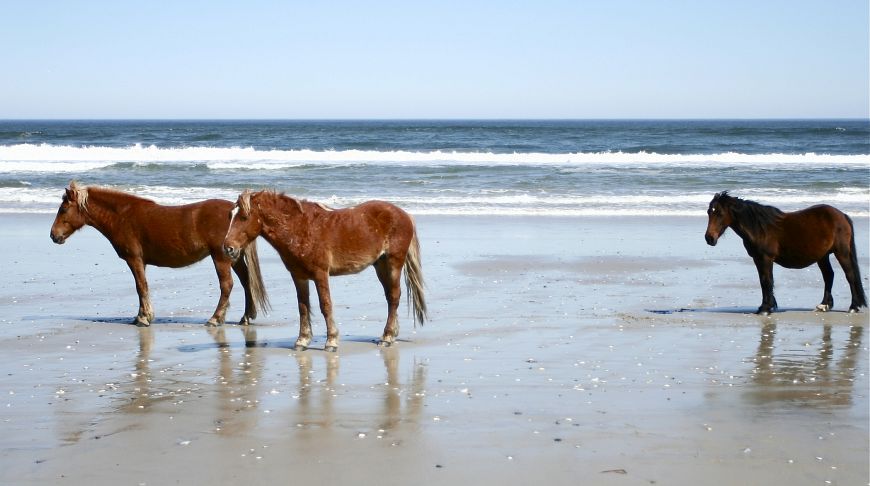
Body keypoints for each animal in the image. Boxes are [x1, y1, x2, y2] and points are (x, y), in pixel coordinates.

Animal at [50, 181, 270, 326]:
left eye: (63, 209)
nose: (53, 235)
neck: (122, 216)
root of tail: (237, 212)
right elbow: (142, 287)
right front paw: (142, 315)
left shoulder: (134, 259)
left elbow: (141, 287)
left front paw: (143, 317)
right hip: (233, 257)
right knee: (246, 282)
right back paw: (246, 316)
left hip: (221, 257)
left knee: (227, 285)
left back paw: (215, 318)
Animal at [221, 188, 430, 352]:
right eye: (230, 216)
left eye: (244, 217)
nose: (228, 248)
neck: (301, 228)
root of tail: (404, 214)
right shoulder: (298, 276)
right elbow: (303, 307)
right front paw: (302, 340)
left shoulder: (320, 274)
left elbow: (325, 305)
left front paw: (331, 341)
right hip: (380, 266)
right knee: (390, 297)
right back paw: (392, 334)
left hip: (393, 263)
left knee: (394, 297)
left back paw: (386, 337)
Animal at [704, 191, 868, 316]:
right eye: (709, 212)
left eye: (719, 213)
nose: (709, 238)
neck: (760, 228)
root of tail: (842, 215)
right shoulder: (758, 259)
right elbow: (763, 282)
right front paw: (765, 306)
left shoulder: (766, 258)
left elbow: (767, 281)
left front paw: (765, 309)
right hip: (823, 256)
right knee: (829, 276)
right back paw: (824, 305)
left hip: (842, 252)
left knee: (850, 276)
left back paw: (853, 307)